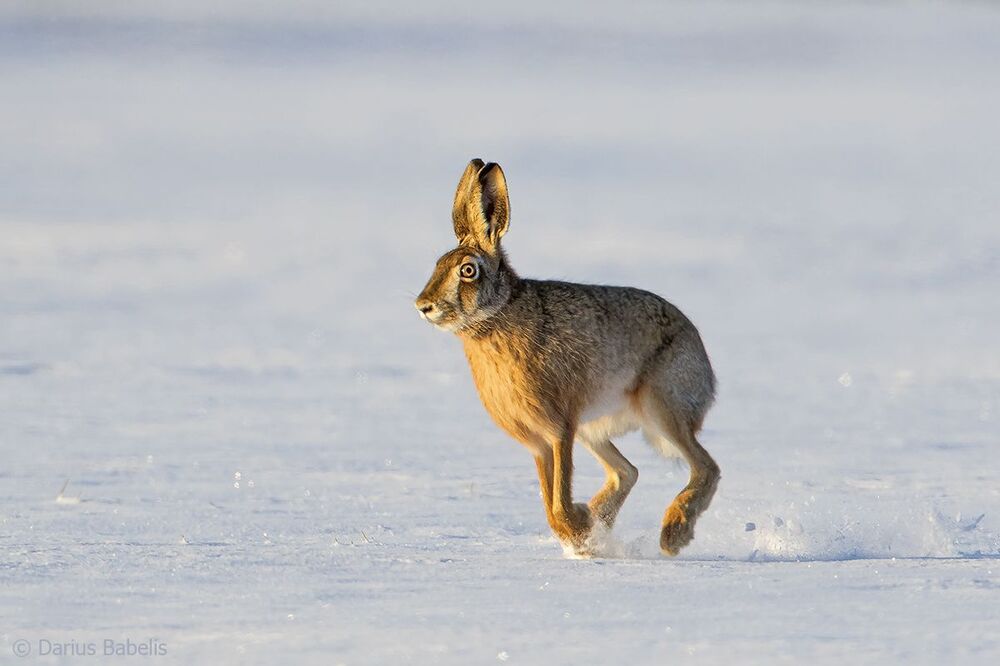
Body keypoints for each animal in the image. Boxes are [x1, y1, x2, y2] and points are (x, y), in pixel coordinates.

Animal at [415, 158, 719, 557]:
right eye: (437, 264)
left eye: (468, 270)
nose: (423, 305)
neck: (499, 315)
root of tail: (706, 368)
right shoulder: (540, 443)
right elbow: (550, 506)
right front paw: (582, 533)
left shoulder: (560, 429)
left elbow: (557, 502)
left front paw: (580, 532)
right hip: (594, 429)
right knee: (627, 472)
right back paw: (596, 519)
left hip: (661, 406)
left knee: (705, 467)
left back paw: (672, 534)